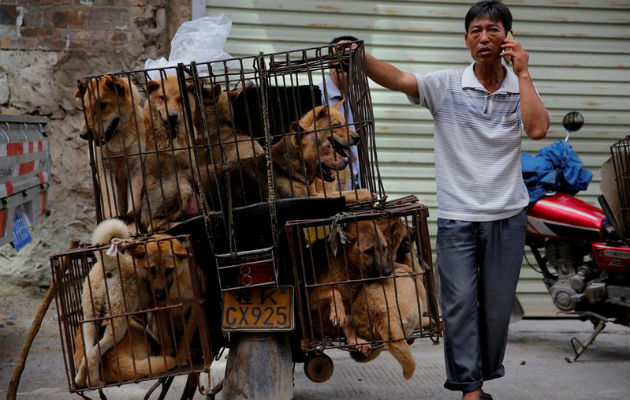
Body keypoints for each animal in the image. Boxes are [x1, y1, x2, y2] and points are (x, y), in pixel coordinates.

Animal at [76, 75, 144, 219]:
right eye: (85, 108)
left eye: (101, 105)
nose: (83, 135)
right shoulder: (104, 170)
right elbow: (110, 204)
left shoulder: (136, 168)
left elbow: (134, 204)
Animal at [308, 219, 392, 354]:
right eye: (369, 251)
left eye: (384, 248)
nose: (388, 272)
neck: (349, 268)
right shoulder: (310, 299)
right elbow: (333, 290)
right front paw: (338, 312)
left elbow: (348, 324)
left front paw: (355, 339)